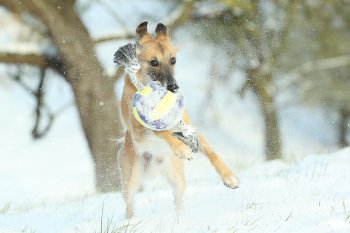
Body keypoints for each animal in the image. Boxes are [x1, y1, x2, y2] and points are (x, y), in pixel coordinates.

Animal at [119, 21, 239, 218]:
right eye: (153, 62)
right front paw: (181, 149)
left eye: (173, 60)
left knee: (178, 201)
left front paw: (229, 176)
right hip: (131, 178)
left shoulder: (190, 128)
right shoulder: (139, 132)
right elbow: (160, 130)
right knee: (129, 204)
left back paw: (180, 220)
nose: (174, 87)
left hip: (177, 178)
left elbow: (212, 153)